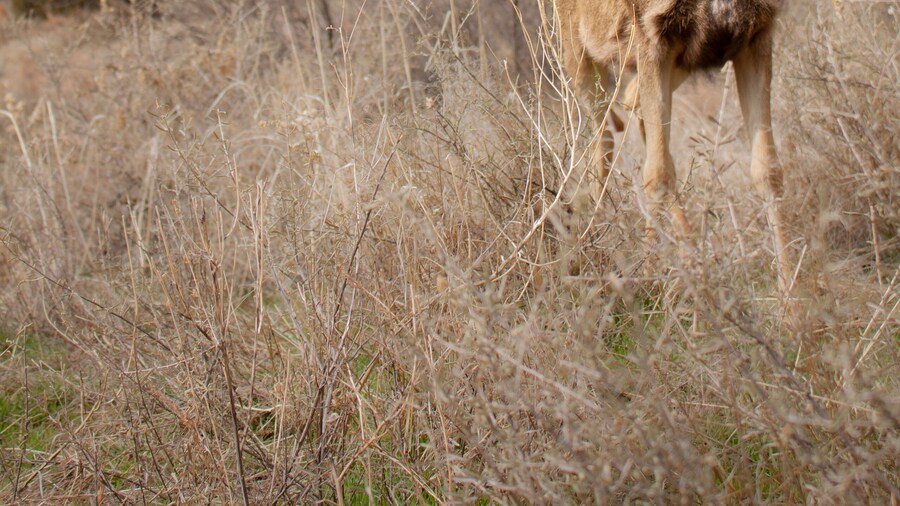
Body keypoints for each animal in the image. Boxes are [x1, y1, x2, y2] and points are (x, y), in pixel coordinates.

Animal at [554, 0, 792, 292]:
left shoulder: (757, 32)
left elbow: (767, 169)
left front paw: (791, 295)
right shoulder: (650, 33)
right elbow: (657, 174)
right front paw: (648, 278)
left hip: (681, 62)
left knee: (630, 105)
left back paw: (691, 255)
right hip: (575, 47)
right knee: (606, 133)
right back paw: (593, 230)